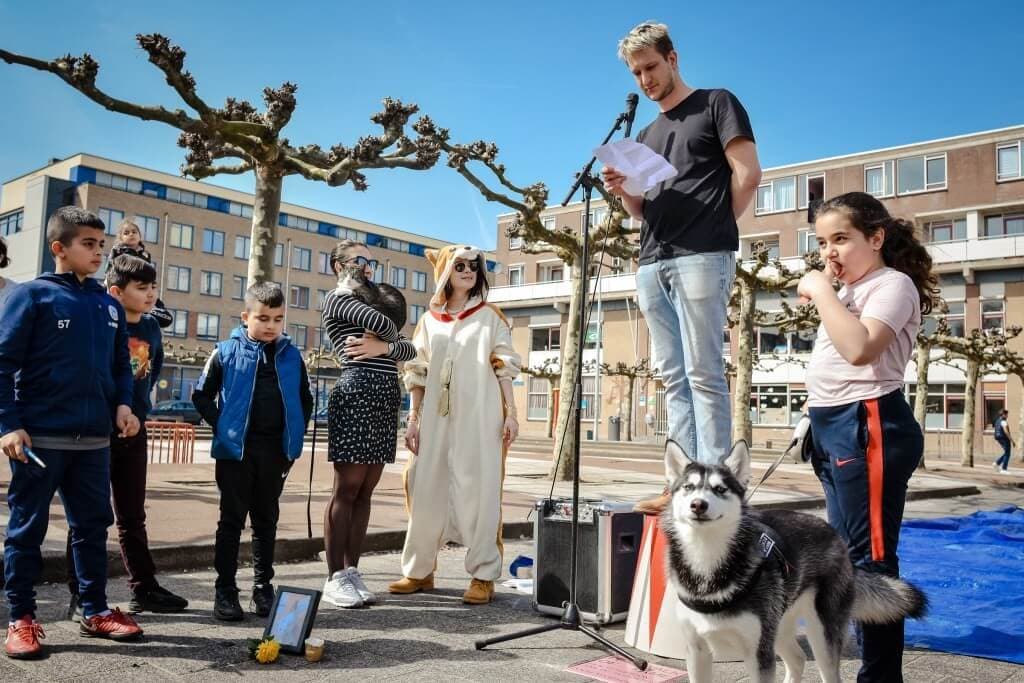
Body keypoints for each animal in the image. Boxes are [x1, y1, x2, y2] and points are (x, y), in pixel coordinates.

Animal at [659, 440, 925, 683]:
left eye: (720, 489)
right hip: (780, 625)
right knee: (798, 658)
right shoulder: (697, 651)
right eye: (689, 487)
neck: (707, 559)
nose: (698, 505)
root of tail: (835, 533)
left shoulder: (759, 655)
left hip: (821, 636)